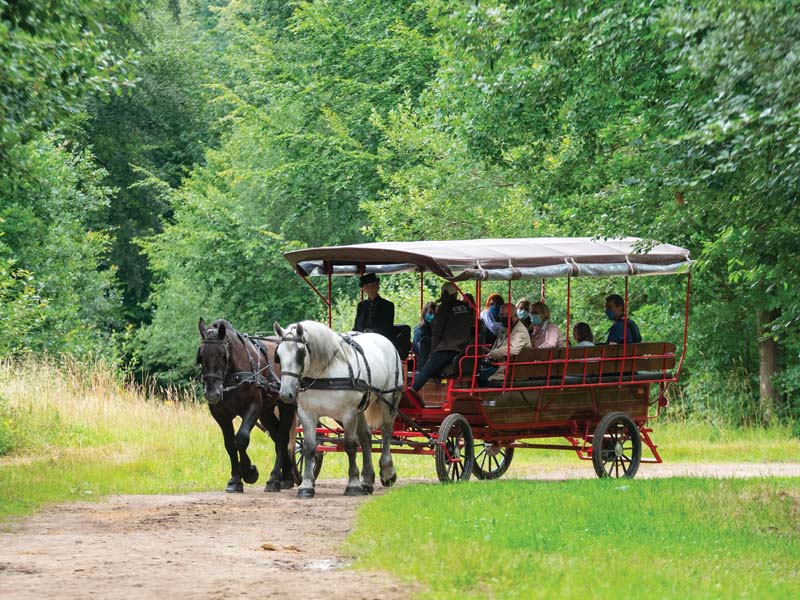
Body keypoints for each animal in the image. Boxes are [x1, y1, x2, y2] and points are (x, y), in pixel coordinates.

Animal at [197, 318, 296, 492]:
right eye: (201, 356)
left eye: (223, 355)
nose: (212, 394)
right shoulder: (220, 414)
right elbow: (230, 444)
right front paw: (235, 480)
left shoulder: (253, 407)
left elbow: (242, 439)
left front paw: (249, 472)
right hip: (266, 412)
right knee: (276, 436)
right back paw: (287, 476)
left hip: (286, 405)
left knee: (282, 439)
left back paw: (274, 479)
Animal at [274, 322, 400, 500]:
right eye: (278, 354)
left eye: (300, 353)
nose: (286, 394)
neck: (324, 374)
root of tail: (382, 338)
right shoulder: (307, 414)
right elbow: (309, 448)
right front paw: (306, 486)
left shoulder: (348, 413)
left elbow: (350, 446)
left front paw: (353, 485)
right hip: (361, 408)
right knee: (366, 438)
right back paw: (367, 481)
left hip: (388, 399)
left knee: (386, 432)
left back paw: (387, 472)